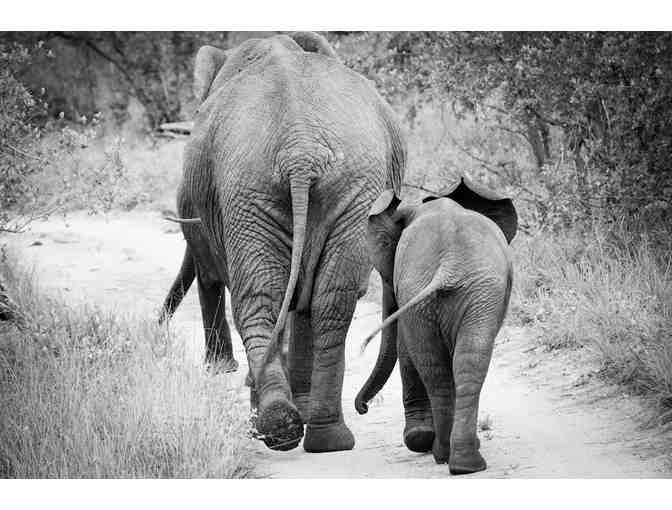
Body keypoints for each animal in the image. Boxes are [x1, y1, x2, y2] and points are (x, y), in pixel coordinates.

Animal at [165, 32, 406, 454]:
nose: (157, 327)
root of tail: (300, 150)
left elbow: (211, 271)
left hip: (256, 187)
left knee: (262, 298)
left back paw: (274, 427)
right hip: (345, 189)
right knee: (328, 301)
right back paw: (320, 437)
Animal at [354, 178, 516, 474]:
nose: (363, 408)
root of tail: (448, 266)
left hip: (469, 291)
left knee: (450, 362)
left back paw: (454, 459)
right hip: (454, 292)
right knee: (448, 363)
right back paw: (455, 458)